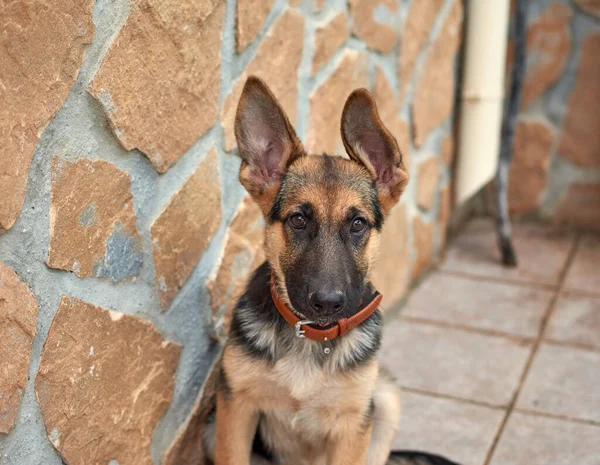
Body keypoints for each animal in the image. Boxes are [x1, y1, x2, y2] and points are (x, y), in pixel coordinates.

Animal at [202, 77, 460, 464]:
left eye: (357, 224)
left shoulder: (353, 423)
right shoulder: (235, 407)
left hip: (385, 399)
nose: (327, 303)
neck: (312, 340)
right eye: (298, 219)